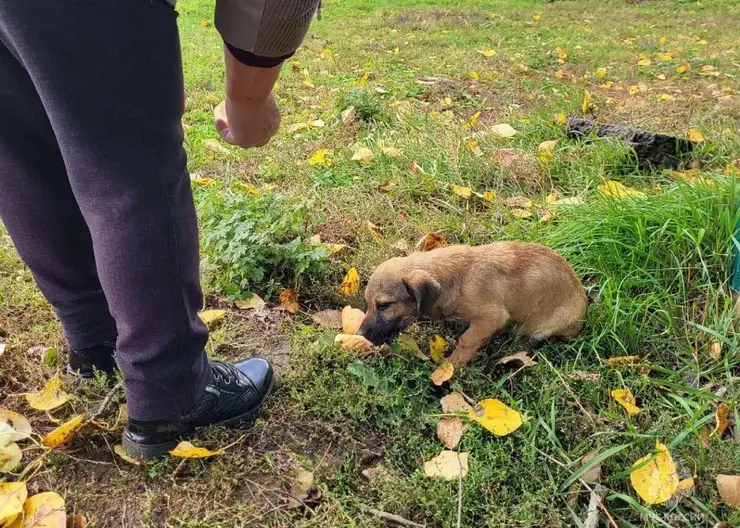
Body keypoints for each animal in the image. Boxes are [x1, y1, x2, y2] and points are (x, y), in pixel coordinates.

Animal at [356, 241, 588, 366]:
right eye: (367, 303)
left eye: (384, 305)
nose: (359, 334)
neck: (457, 280)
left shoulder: (491, 318)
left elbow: (466, 341)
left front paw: (448, 369)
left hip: (542, 328)